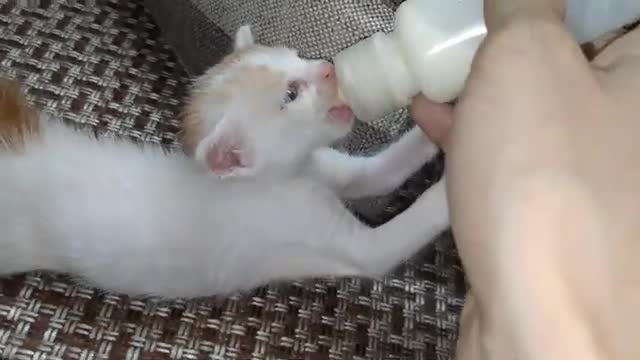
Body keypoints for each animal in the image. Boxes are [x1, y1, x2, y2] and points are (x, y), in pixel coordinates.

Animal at [0, 25, 450, 300]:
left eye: (296, 56)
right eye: (291, 94)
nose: (328, 67)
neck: (285, 178)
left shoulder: (330, 170)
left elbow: (382, 173)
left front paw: (442, 116)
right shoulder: (344, 246)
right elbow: (391, 240)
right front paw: (454, 185)